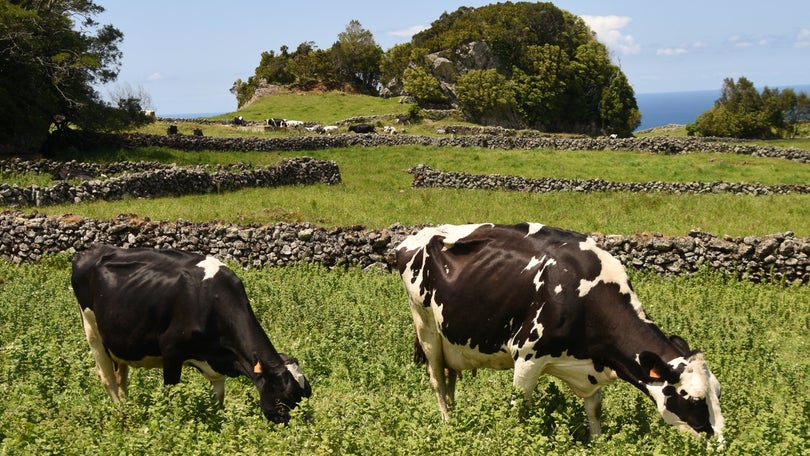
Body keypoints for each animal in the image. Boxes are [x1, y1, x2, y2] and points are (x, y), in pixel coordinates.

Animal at [71, 246, 310, 424]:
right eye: (286, 398)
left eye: (306, 394)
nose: (301, 430)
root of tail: (90, 251)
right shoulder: (171, 352)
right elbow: (170, 394)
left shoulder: (217, 364)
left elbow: (218, 401)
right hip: (92, 330)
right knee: (107, 378)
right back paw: (123, 414)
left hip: (119, 341)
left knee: (121, 377)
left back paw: (129, 405)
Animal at [394, 224, 724, 442]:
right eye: (694, 399)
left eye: (718, 392)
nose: (721, 442)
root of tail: (417, 235)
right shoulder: (527, 356)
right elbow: (518, 409)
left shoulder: (589, 368)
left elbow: (595, 410)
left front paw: (599, 444)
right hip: (426, 329)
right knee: (437, 380)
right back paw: (448, 424)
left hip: (451, 338)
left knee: (449, 379)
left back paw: (457, 416)